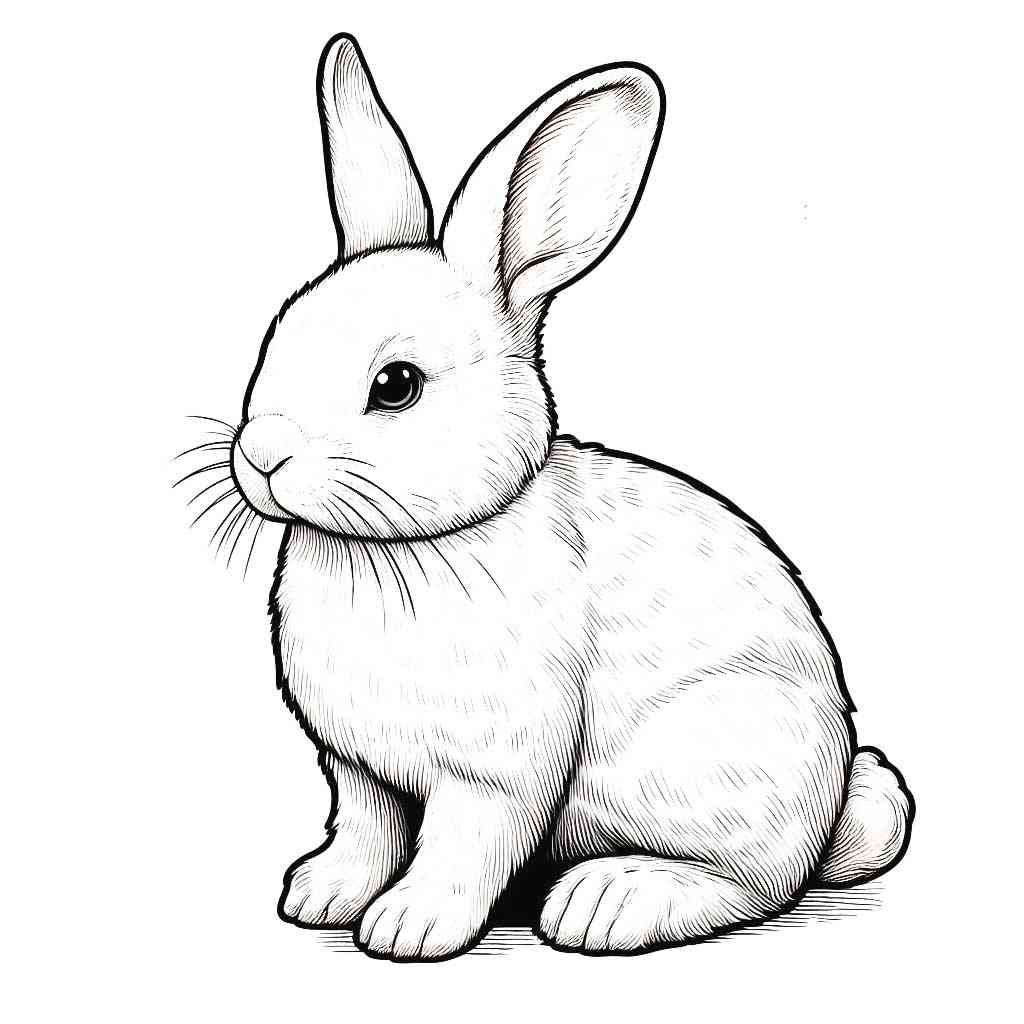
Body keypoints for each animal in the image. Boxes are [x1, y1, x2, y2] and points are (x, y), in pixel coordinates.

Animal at [225, 34, 914, 960]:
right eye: (277, 338)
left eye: (395, 385)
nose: (262, 453)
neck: (400, 547)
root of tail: (837, 798)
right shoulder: (359, 770)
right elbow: (366, 831)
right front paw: (321, 895)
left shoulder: (495, 772)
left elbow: (462, 847)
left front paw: (411, 928)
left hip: (713, 758)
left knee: (759, 883)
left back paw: (609, 901)